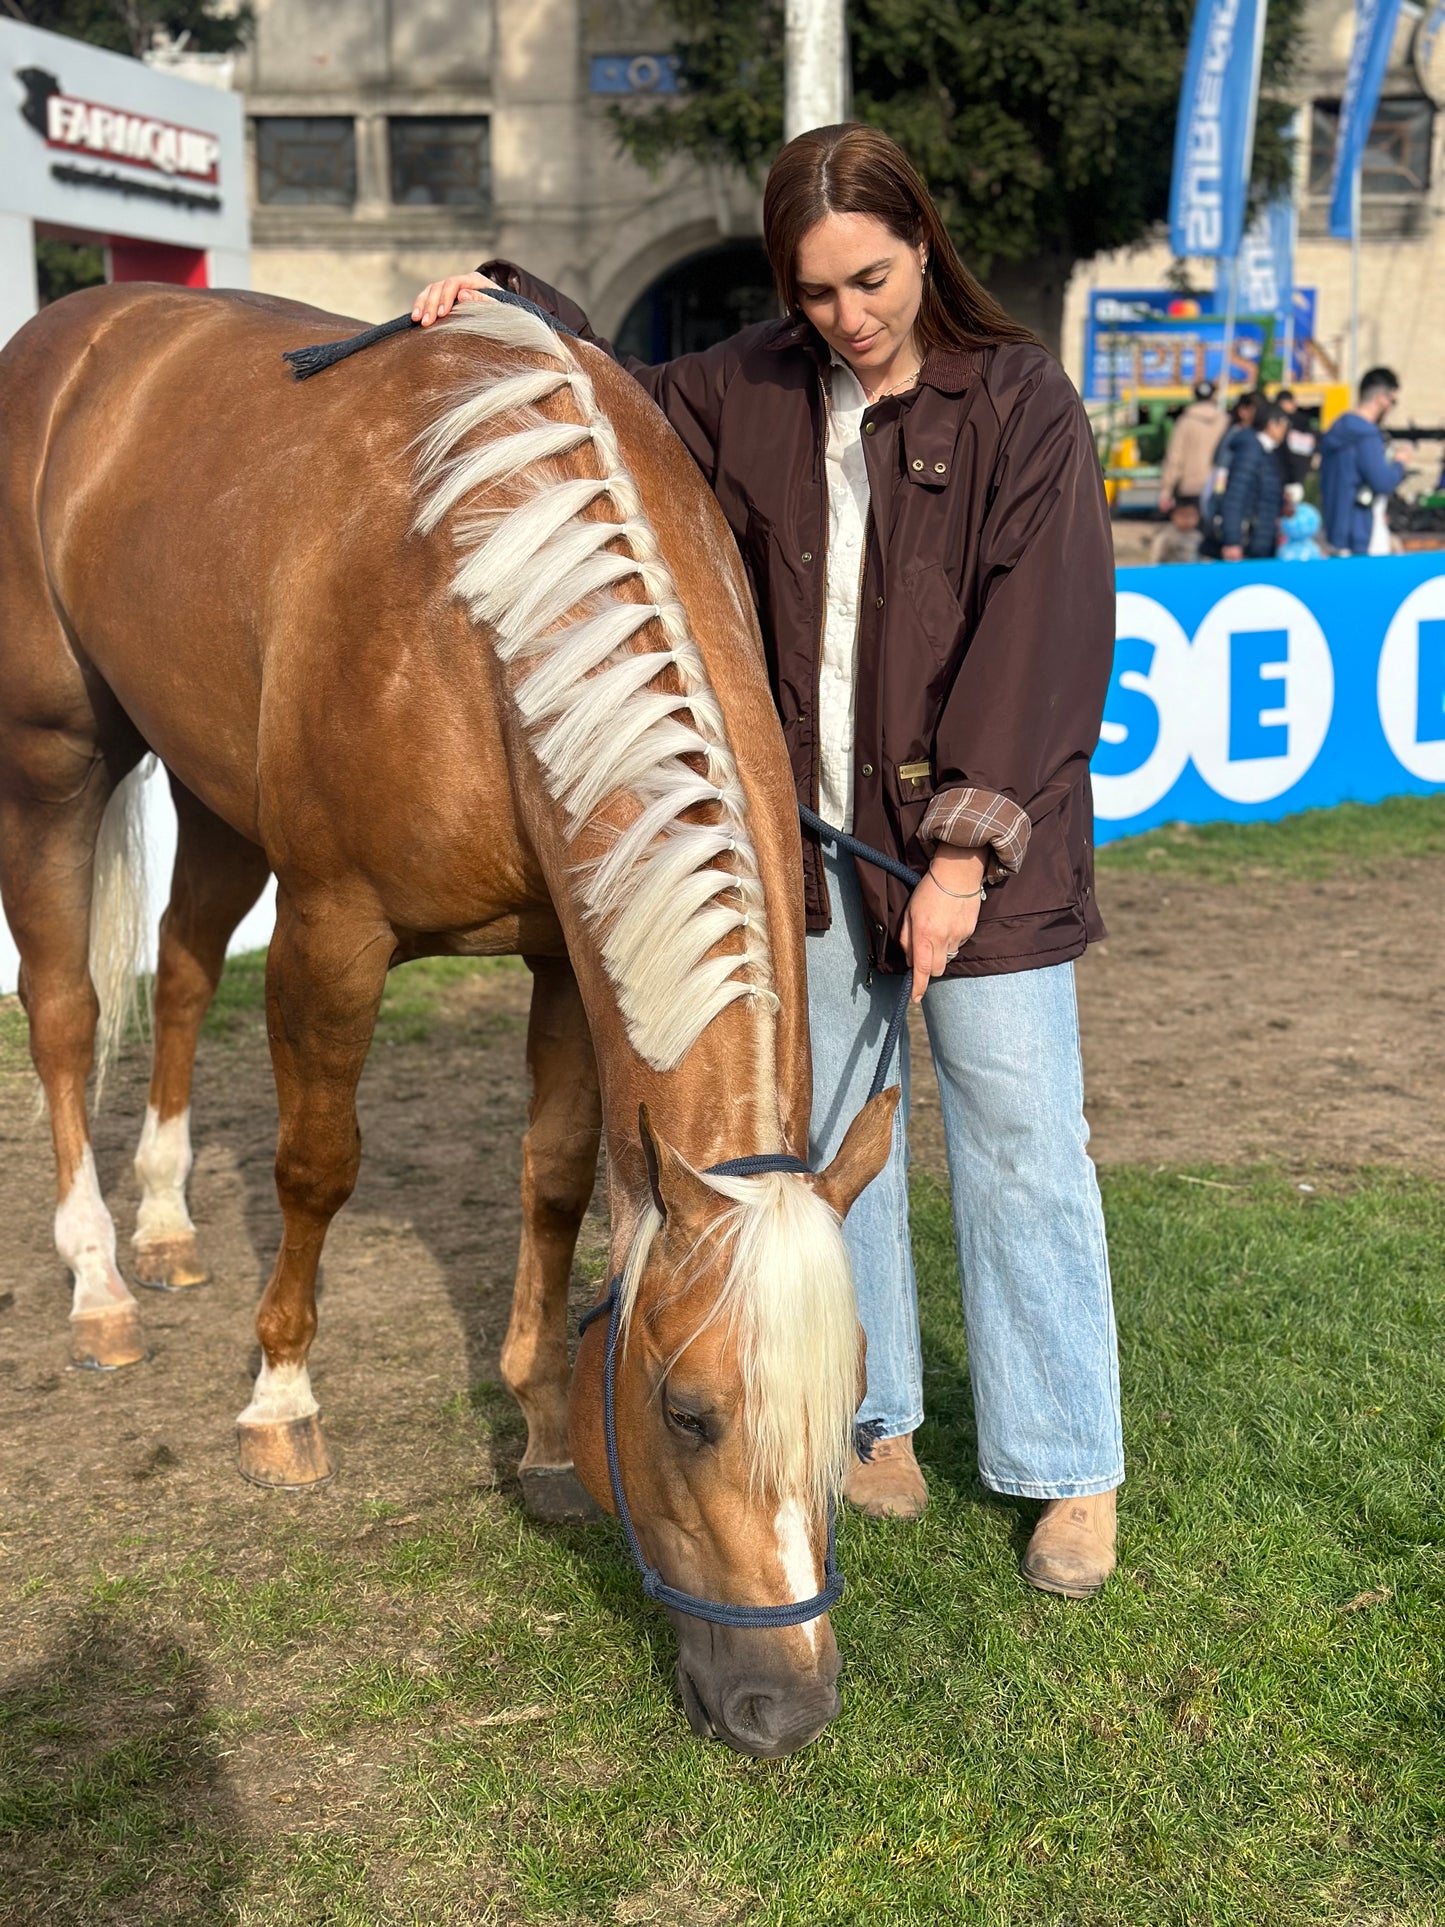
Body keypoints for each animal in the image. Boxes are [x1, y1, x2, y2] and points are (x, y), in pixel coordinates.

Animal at [0, 281, 901, 1765]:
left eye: (849, 1410)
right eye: (688, 1412)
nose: (788, 1706)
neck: (483, 607)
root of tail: (76, 332)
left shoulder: (561, 959)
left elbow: (552, 1179)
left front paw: (537, 1432)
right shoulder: (332, 933)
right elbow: (318, 1167)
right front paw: (280, 1397)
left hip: (212, 785)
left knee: (181, 973)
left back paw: (170, 1226)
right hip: (57, 755)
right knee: (69, 1009)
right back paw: (100, 1281)